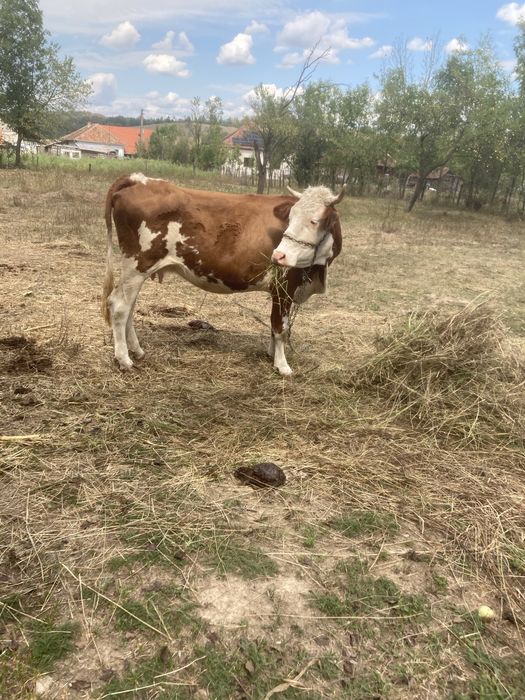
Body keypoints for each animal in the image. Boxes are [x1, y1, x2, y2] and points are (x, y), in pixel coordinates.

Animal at [102, 173, 344, 376]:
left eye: (314, 221)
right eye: (291, 217)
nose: (279, 255)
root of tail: (138, 179)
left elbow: (274, 324)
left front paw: (271, 354)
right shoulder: (284, 285)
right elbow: (280, 327)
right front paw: (282, 365)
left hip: (136, 271)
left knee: (129, 307)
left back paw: (137, 350)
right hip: (137, 265)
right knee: (119, 306)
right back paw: (124, 359)